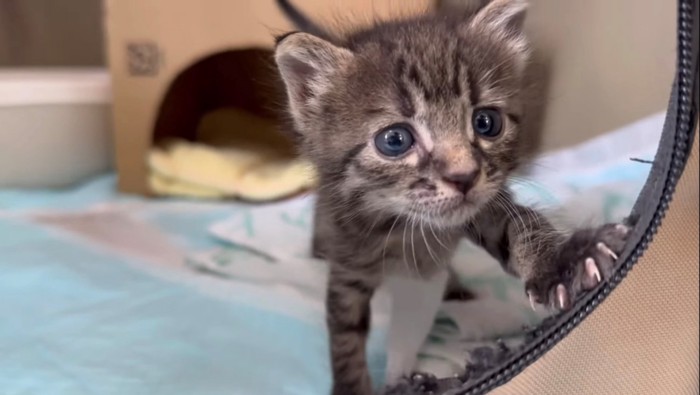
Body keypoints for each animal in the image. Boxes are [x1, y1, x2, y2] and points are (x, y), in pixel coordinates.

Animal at [272, 1, 628, 394]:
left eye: (486, 122)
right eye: (394, 140)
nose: (464, 177)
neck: (405, 226)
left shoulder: (487, 205)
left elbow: (522, 225)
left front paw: (565, 261)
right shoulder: (348, 258)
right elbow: (345, 335)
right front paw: (351, 386)